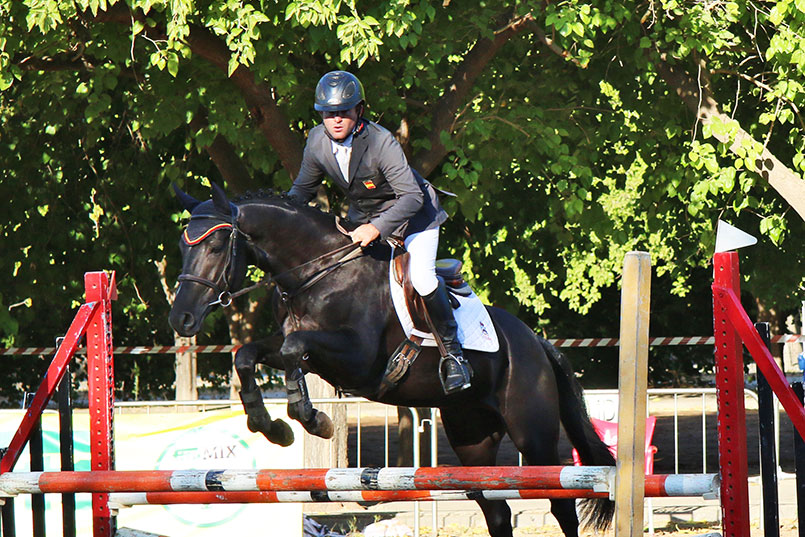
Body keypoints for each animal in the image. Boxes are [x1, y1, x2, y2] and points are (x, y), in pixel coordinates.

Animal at [166, 182, 612, 532]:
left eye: (216, 245)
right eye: (183, 245)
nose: (181, 318)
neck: (319, 272)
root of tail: (537, 342)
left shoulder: (357, 358)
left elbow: (295, 351)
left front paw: (313, 418)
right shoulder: (300, 348)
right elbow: (248, 354)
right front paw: (271, 425)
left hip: (533, 434)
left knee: (561, 504)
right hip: (472, 439)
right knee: (496, 510)